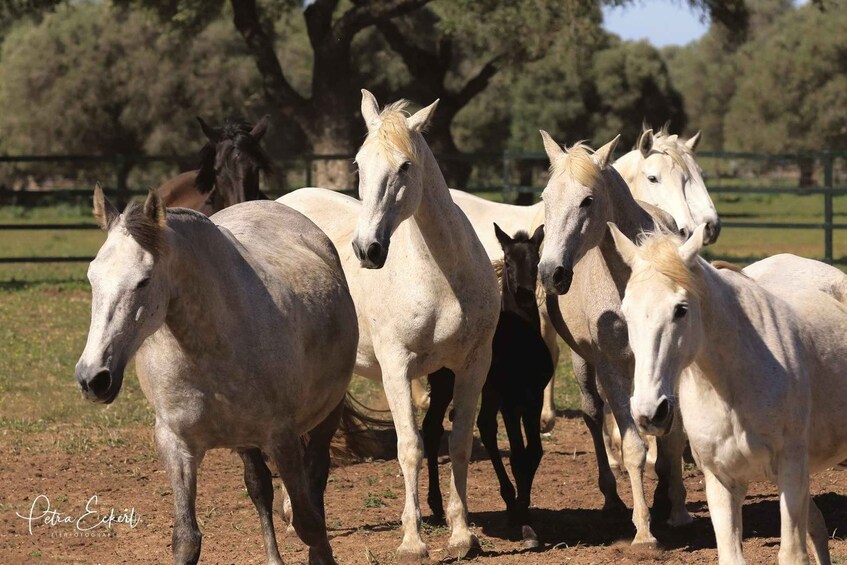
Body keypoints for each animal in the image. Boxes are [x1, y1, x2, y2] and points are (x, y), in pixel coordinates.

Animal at [76, 186, 358, 564]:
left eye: (143, 281)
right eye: (92, 277)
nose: (93, 378)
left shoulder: (282, 439)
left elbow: (309, 524)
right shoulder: (175, 444)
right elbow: (187, 540)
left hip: (325, 415)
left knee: (316, 479)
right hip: (245, 441)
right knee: (260, 488)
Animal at [278, 90, 504, 556]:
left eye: (405, 166)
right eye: (359, 164)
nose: (368, 249)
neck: (440, 278)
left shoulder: (473, 364)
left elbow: (457, 442)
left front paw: (461, 535)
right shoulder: (397, 368)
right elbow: (410, 448)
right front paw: (413, 541)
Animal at [422, 224, 552, 548]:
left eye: (536, 259)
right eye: (507, 261)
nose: (524, 293)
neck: (521, 342)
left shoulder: (532, 398)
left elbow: (534, 452)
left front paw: (523, 510)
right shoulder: (511, 401)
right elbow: (518, 456)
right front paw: (525, 527)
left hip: (486, 389)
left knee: (484, 425)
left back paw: (507, 500)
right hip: (446, 382)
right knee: (431, 428)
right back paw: (436, 504)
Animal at [612, 223, 847, 560]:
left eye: (681, 309)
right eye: (626, 311)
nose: (649, 413)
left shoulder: (791, 471)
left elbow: (792, 555)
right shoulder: (721, 480)